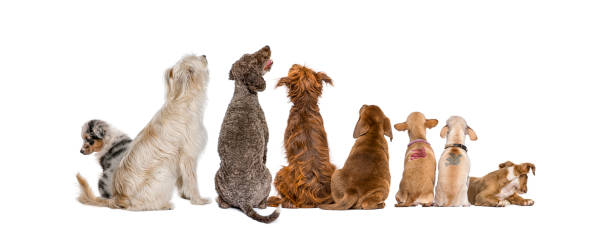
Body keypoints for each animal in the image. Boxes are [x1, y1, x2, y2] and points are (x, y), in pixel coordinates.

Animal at [76, 54, 212, 210]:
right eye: (195, 57)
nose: (204, 55)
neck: (182, 98)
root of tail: (118, 197)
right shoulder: (188, 156)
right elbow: (192, 180)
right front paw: (198, 200)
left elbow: (182, 180)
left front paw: (186, 196)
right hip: (163, 172)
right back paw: (164, 205)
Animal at [215, 44, 280, 223]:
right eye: (256, 59)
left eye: (247, 53)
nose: (267, 46)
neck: (243, 96)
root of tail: (243, 200)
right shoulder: (266, 140)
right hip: (268, 175)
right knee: (262, 203)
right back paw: (266, 202)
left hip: (217, 176)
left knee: (223, 202)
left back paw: (221, 201)